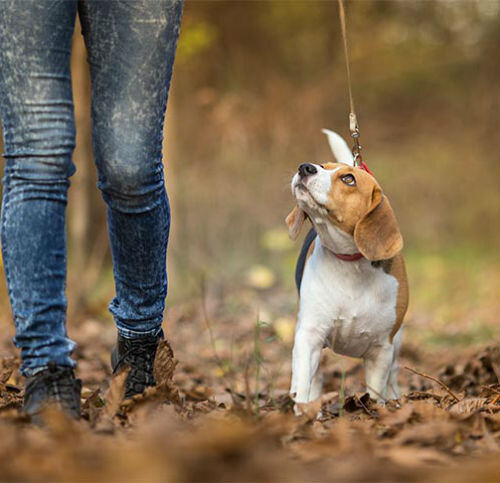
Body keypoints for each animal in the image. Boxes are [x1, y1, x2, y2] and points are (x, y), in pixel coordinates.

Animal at [288, 129, 408, 404]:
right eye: (322, 166)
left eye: (348, 179)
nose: (305, 167)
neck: (350, 265)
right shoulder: (310, 335)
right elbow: (304, 379)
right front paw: (302, 409)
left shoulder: (381, 349)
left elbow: (375, 392)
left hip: (397, 343)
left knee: (394, 374)